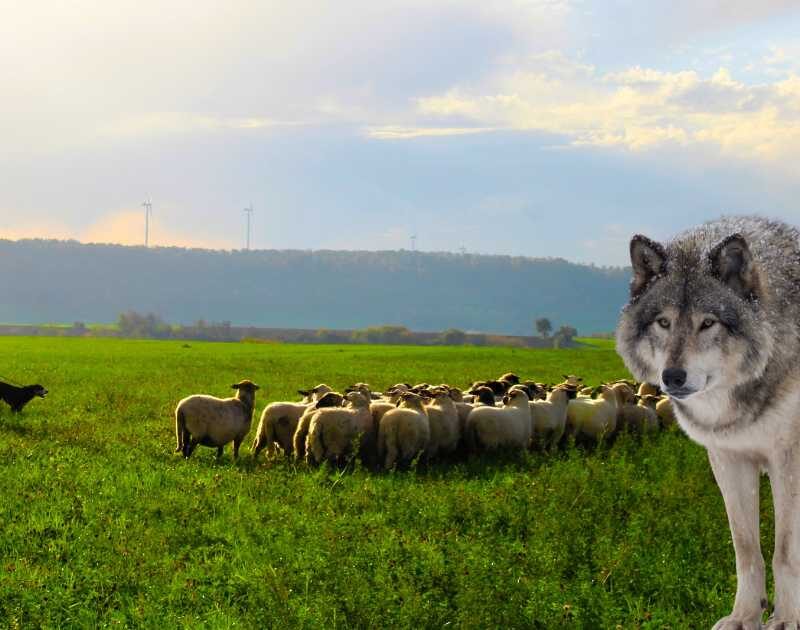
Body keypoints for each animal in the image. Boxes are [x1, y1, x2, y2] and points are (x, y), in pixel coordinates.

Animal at [615, 215, 800, 630]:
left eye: (708, 323)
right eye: (664, 322)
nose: (673, 377)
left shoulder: (789, 462)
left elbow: (784, 552)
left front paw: (785, 618)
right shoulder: (729, 459)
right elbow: (747, 550)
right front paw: (745, 616)